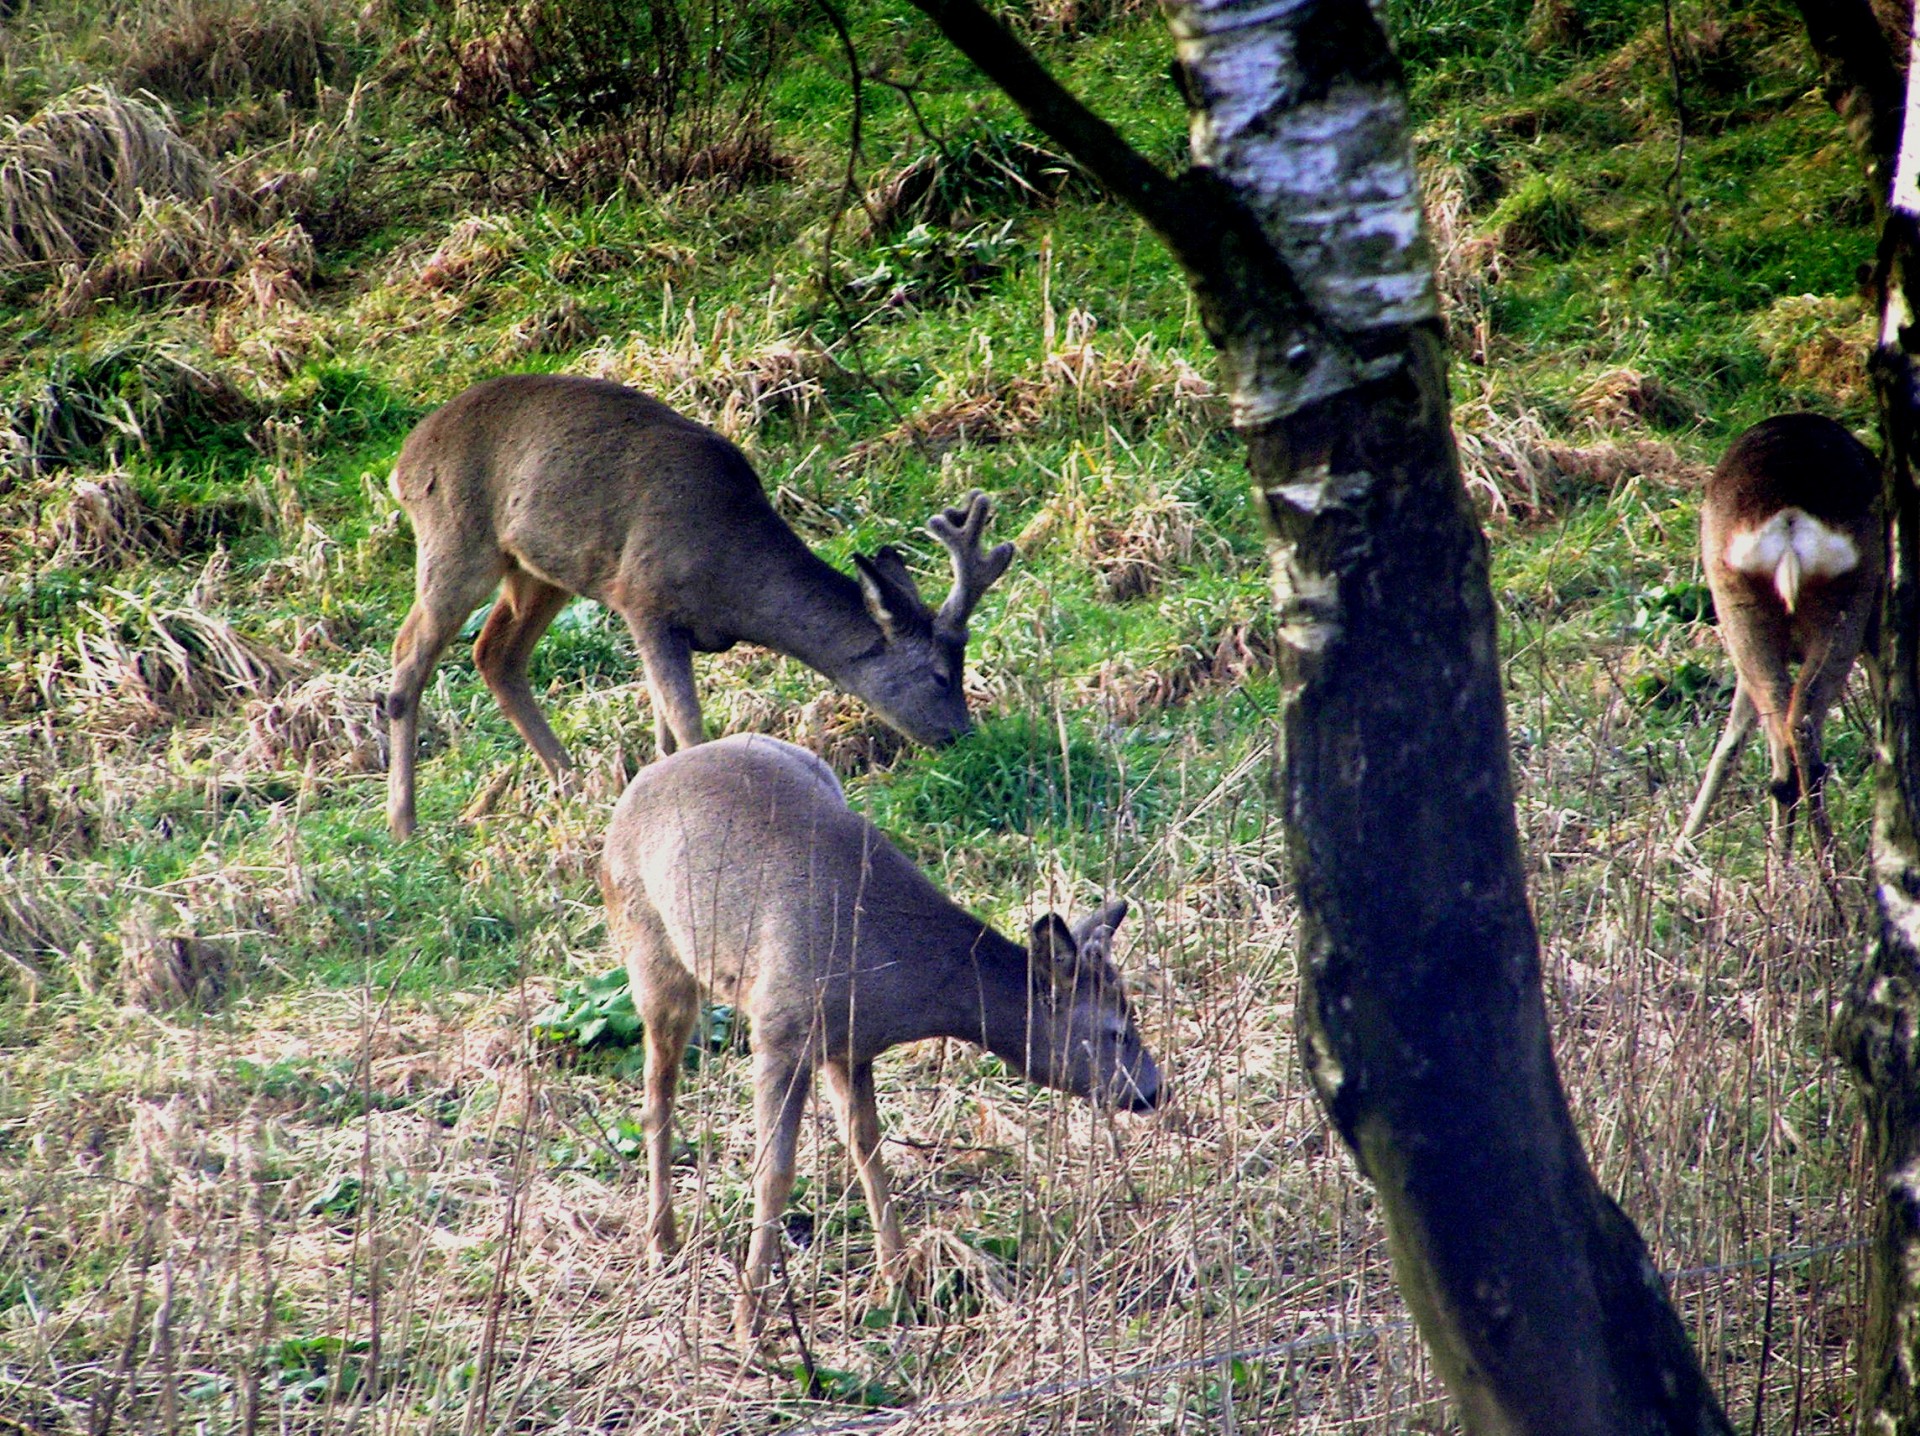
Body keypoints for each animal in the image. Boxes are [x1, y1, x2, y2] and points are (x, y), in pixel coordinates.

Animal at [378, 372, 1021, 840]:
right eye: (940, 675)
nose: (963, 738)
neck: (733, 578)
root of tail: (403, 462)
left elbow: (665, 730)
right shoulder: (642, 596)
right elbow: (688, 728)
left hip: (539, 569)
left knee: (495, 653)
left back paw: (571, 783)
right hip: (456, 539)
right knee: (410, 653)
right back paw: (404, 822)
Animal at [599, 733, 1159, 1343]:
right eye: (1114, 1031)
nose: (1154, 1090)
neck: (893, 973)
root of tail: (639, 783)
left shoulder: (851, 1046)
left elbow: (866, 1145)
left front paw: (898, 1279)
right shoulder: (779, 1032)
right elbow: (774, 1173)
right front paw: (750, 1319)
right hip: (650, 951)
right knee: (657, 1094)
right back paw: (661, 1242)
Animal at [1681, 408, 1889, 848]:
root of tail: (1789, 519)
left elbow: (1732, 738)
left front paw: (1683, 842)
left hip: (1738, 606)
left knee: (1780, 733)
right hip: (1850, 601)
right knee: (1803, 724)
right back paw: (1831, 859)